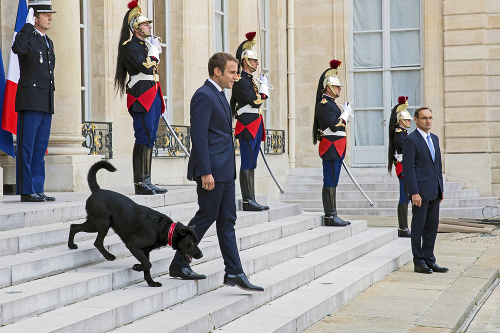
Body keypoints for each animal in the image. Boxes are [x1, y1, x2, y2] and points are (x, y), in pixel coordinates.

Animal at [67, 160, 202, 286]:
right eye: (191, 243)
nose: (201, 255)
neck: (165, 228)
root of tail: (97, 190)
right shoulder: (133, 246)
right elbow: (148, 264)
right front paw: (137, 267)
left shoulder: (145, 251)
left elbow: (147, 267)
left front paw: (151, 283)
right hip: (102, 223)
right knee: (97, 242)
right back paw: (108, 256)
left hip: (93, 224)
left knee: (74, 226)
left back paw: (71, 245)